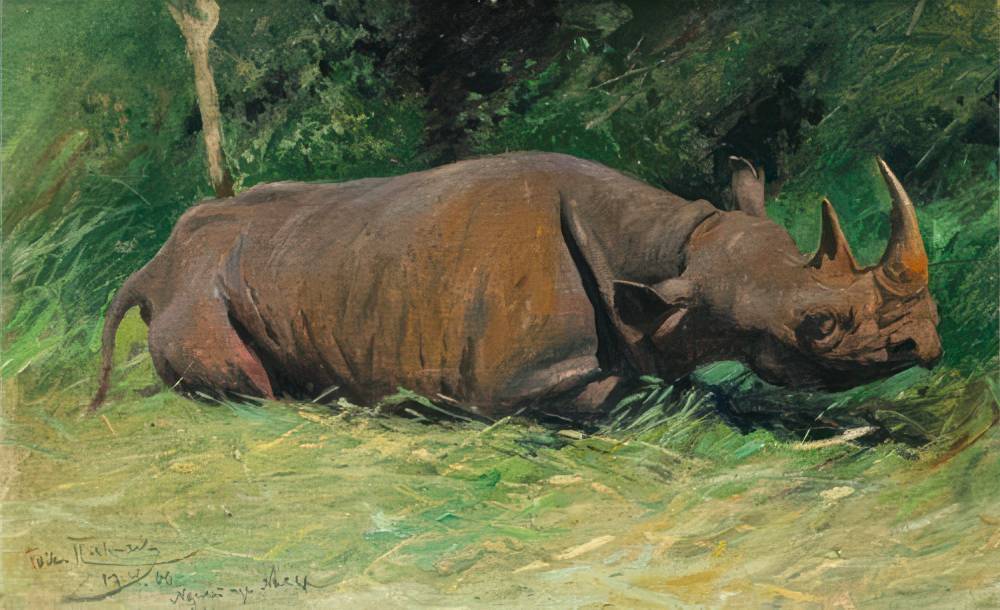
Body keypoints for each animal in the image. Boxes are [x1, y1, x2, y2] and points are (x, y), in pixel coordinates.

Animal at [89, 152, 941, 418]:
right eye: (818, 327)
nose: (927, 344)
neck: (674, 256)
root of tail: (152, 268)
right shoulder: (524, 379)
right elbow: (636, 396)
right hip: (202, 286)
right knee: (248, 386)